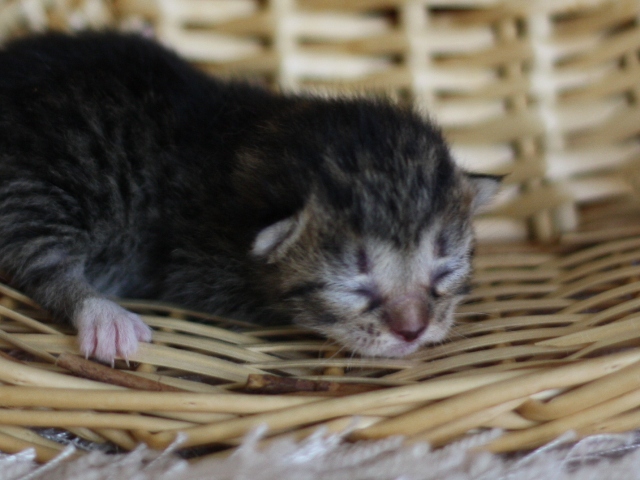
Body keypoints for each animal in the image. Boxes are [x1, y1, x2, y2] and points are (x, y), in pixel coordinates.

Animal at [0, 31, 500, 362]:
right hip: (46, 182)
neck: (250, 138)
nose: (413, 330)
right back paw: (101, 314)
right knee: (35, 255)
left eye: (445, 270)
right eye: (354, 284)